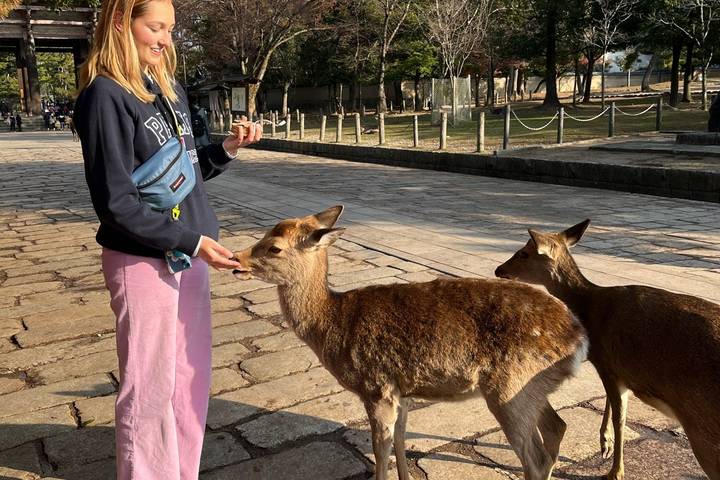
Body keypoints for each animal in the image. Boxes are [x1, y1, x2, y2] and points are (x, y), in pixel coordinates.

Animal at [231, 206, 589, 480]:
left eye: (274, 247)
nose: (236, 259)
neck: (332, 326)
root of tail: (578, 338)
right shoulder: (400, 390)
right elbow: (400, 438)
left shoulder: (376, 387)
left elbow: (380, 447)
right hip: (533, 388)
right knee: (557, 427)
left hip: (509, 390)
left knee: (535, 457)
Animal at [494, 219, 720, 480]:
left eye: (524, 253)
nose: (499, 269)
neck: (589, 308)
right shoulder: (618, 368)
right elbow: (613, 406)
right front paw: (605, 445)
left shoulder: (607, 363)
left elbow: (619, 417)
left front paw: (615, 469)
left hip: (705, 431)